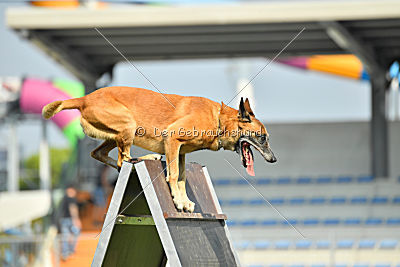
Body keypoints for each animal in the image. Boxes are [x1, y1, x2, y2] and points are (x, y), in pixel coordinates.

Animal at [43, 88, 276, 214]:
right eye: (262, 138)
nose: (274, 159)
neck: (218, 119)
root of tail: (84, 98)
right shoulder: (172, 139)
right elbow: (173, 175)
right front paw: (178, 201)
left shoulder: (181, 152)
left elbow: (181, 177)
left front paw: (184, 200)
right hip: (128, 124)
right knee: (122, 159)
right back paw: (146, 157)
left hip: (114, 134)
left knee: (101, 155)